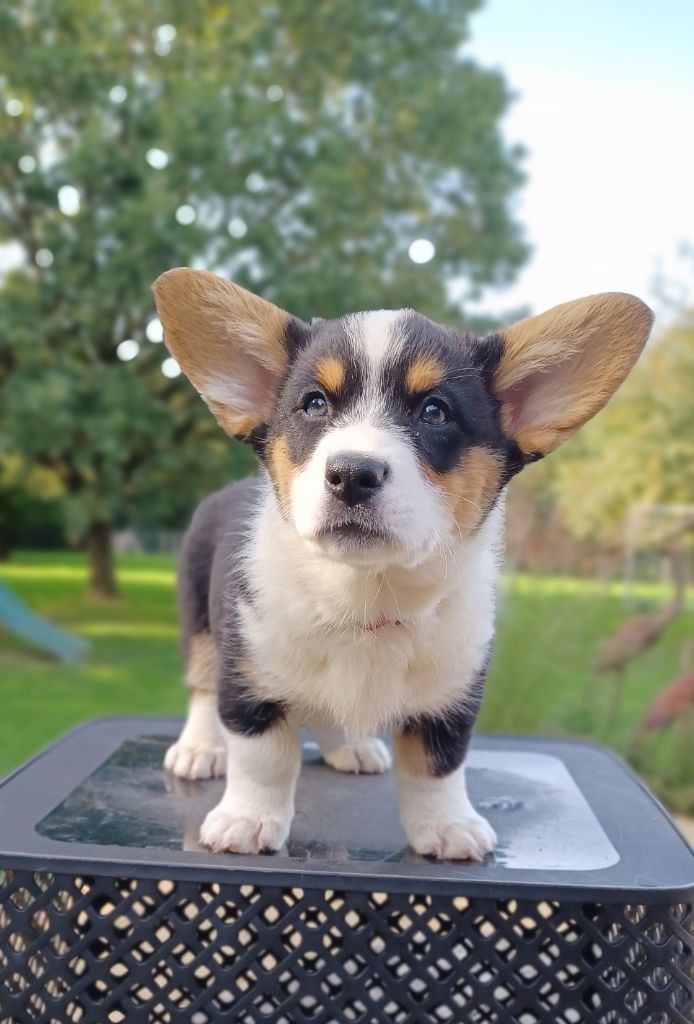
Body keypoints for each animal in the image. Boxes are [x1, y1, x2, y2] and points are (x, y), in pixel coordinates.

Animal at [153, 269, 652, 860]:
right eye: (314, 404)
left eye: (434, 411)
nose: (352, 473)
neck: (365, 593)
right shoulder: (249, 676)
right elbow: (264, 759)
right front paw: (248, 820)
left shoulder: (452, 696)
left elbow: (437, 766)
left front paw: (449, 826)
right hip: (200, 624)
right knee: (202, 688)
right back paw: (199, 748)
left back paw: (350, 747)